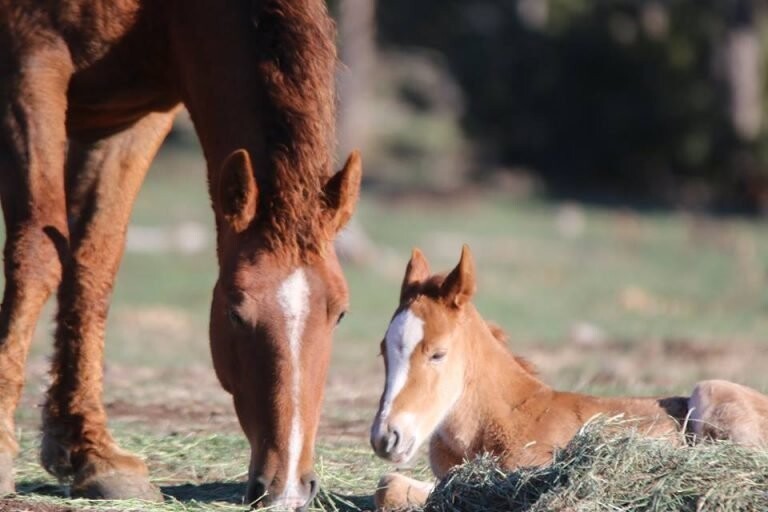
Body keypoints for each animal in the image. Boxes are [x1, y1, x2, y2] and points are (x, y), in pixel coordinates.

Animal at [0, 2, 356, 510]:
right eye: (233, 311)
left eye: (340, 313)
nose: (287, 489)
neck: (159, 14)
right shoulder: (28, 65)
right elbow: (38, 253)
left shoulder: (130, 120)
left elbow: (94, 263)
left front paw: (94, 457)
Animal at [368, 246, 768, 510]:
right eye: (383, 350)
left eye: (437, 353)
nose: (387, 437)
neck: (498, 419)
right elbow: (389, 487)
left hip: (711, 390)